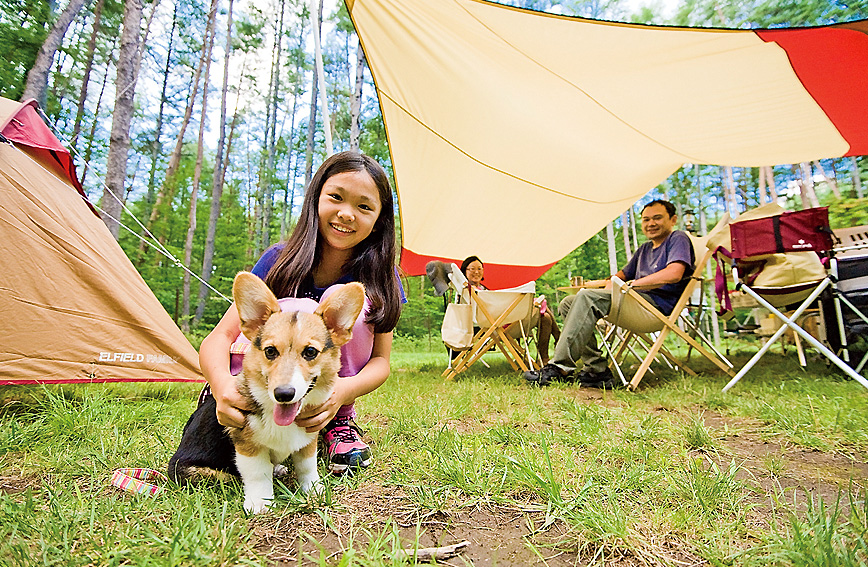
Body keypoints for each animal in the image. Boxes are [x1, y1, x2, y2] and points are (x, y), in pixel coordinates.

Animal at [168, 274, 364, 516]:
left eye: (310, 352)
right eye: (270, 351)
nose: (283, 394)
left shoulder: (308, 438)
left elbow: (307, 467)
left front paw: (313, 490)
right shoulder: (246, 443)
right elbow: (257, 473)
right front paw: (260, 503)